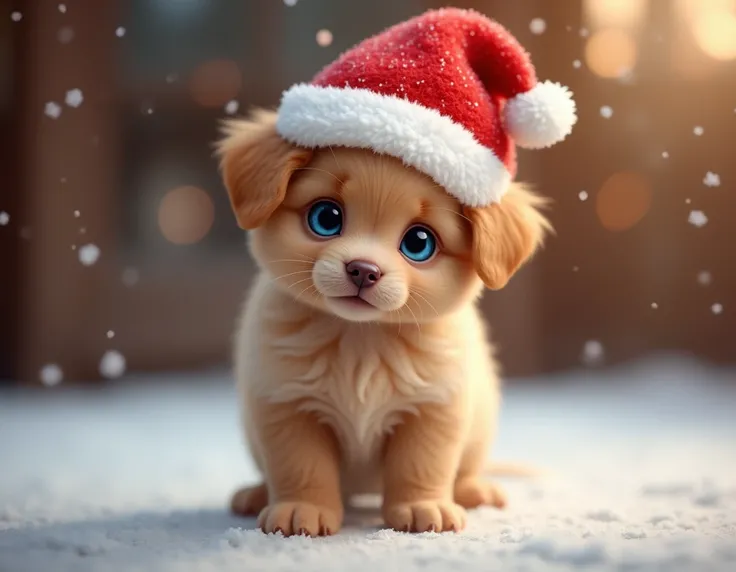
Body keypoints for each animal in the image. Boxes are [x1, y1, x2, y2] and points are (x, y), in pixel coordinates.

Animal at [216, 110, 548, 536]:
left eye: (419, 243)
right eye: (326, 218)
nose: (363, 270)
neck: (361, 337)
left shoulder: (433, 408)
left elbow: (421, 464)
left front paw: (423, 506)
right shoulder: (287, 405)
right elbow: (301, 466)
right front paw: (301, 508)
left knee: (465, 469)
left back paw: (474, 490)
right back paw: (257, 493)